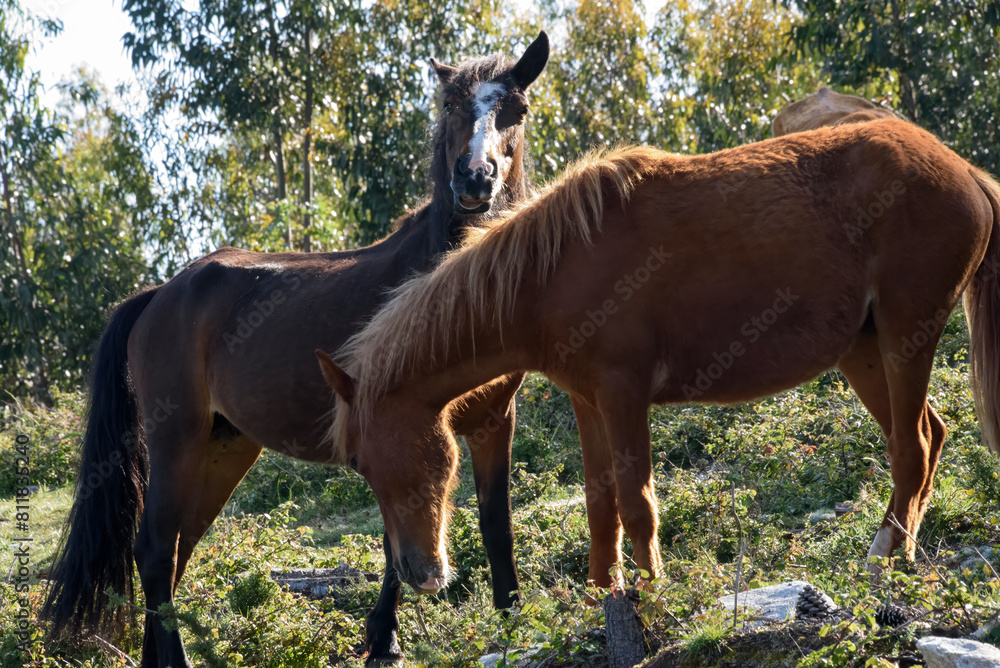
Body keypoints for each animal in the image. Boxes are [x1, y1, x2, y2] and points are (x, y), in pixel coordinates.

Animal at [41, 32, 549, 667]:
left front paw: (510, 621)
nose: (475, 180)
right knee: (156, 551)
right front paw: (384, 638)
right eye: (450, 105)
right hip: (176, 437)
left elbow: (495, 526)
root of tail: (161, 293)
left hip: (224, 447)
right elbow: (397, 534)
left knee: (175, 552)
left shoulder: (494, 419)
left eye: (517, 110)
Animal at [317, 118, 1000, 600]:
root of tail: (966, 172)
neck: (552, 270)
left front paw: (650, 591)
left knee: (911, 446)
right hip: (865, 352)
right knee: (931, 437)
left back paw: (887, 559)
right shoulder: (588, 400)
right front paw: (602, 596)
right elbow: (600, 506)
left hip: (906, 336)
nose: (418, 574)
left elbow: (637, 502)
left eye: (364, 460)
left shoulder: (624, 395)